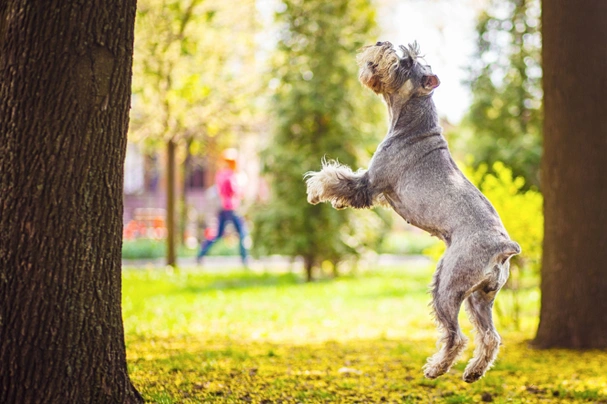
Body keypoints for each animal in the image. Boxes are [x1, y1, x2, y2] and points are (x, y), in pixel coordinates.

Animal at [306, 41, 520, 382]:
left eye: (407, 62)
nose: (382, 44)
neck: (413, 121)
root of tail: (504, 246)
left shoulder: (370, 183)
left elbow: (335, 177)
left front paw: (315, 190)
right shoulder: (381, 192)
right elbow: (341, 178)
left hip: (447, 285)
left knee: (455, 335)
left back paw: (436, 367)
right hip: (480, 299)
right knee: (489, 336)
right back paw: (473, 371)